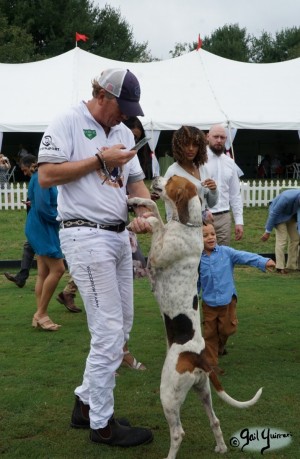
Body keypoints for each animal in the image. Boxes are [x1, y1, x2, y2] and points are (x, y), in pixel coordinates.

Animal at [127, 174, 262, 458]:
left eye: (170, 179)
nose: (155, 177)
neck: (187, 226)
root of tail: (199, 356)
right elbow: (155, 211)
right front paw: (136, 200)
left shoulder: (157, 254)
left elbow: (155, 222)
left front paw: (142, 219)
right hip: (203, 390)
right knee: (215, 420)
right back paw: (221, 446)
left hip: (168, 393)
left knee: (178, 432)